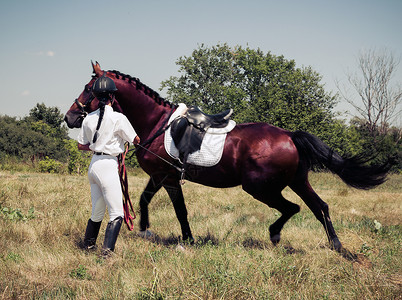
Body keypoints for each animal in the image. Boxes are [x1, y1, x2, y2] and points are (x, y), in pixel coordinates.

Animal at [65, 62, 390, 254]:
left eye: (88, 88)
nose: (70, 117)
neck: (158, 123)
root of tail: (289, 135)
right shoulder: (161, 177)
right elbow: (147, 201)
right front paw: (151, 231)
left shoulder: (167, 178)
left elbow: (176, 210)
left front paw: (178, 238)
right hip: (297, 181)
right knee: (319, 207)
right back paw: (337, 246)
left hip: (260, 188)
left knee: (293, 208)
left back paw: (275, 235)